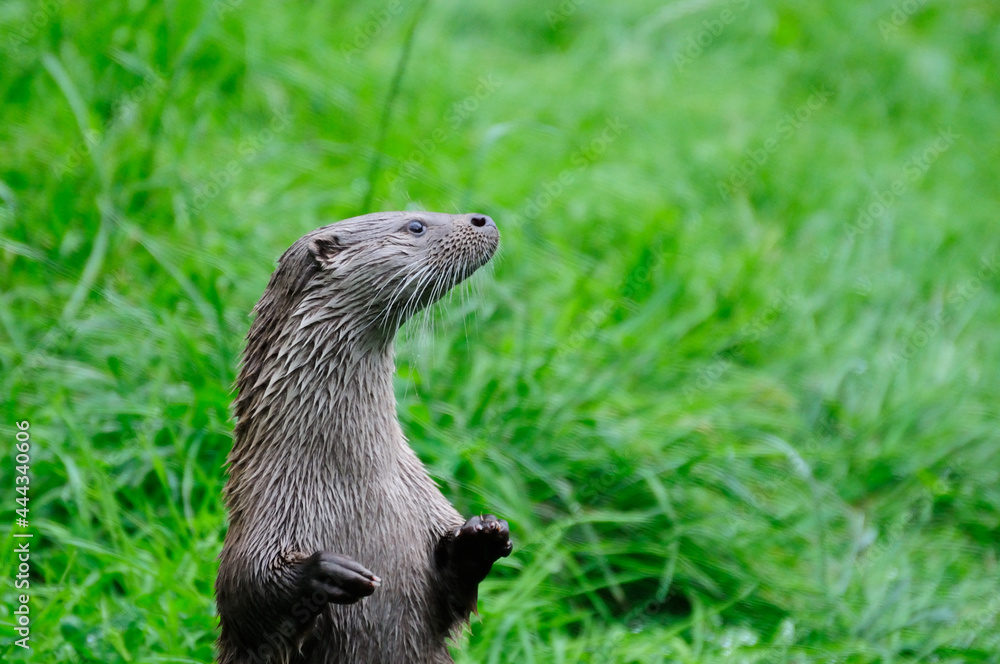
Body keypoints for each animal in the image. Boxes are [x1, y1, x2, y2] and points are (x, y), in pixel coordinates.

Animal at [215, 211, 512, 664]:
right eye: (415, 225)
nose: (482, 218)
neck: (358, 485)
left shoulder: (428, 512)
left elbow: (454, 596)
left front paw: (481, 538)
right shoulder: (258, 525)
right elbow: (245, 595)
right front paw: (324, 573)